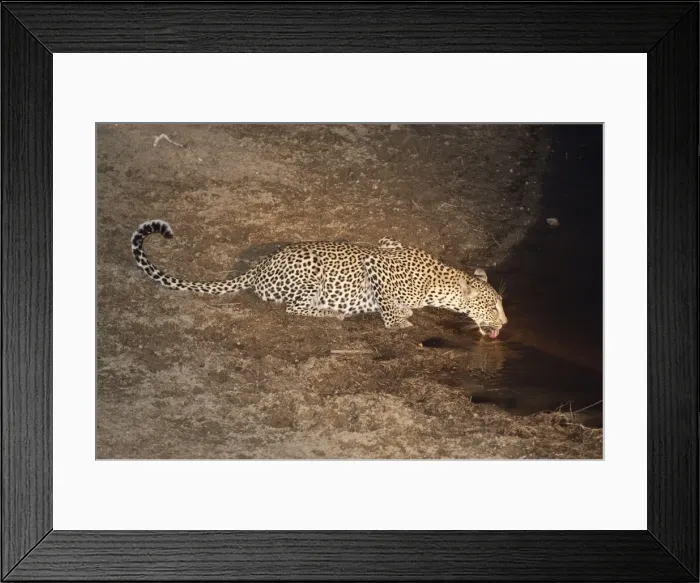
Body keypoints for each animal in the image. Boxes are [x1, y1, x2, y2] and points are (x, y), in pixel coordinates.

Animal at [131, 220, 508, 337]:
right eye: (492, 306)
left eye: (501, 304)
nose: (505, 323)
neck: (438, 282)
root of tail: (259, 266)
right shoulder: (376, 263)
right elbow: (390, 309)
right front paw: (399, 320)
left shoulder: (387, 241)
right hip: (311, 277)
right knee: (295, 309)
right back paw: (332, 313)